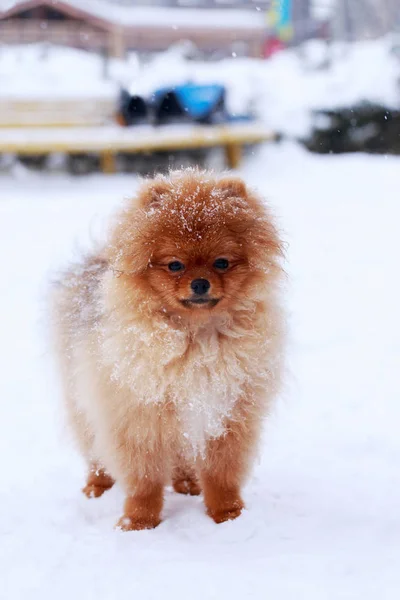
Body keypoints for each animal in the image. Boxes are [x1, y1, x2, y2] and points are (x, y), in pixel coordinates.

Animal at [51, 169, 286, 528]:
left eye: (222, 263)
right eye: (175, 265)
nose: (200, 283)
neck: (196, 336)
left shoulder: (228, 414)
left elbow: (222, 474)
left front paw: (228, 515)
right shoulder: (137, 416)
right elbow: (144, 480)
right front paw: (138, 522)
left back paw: (187, 482)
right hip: (82, 399)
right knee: (94, 451)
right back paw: (97, 486)